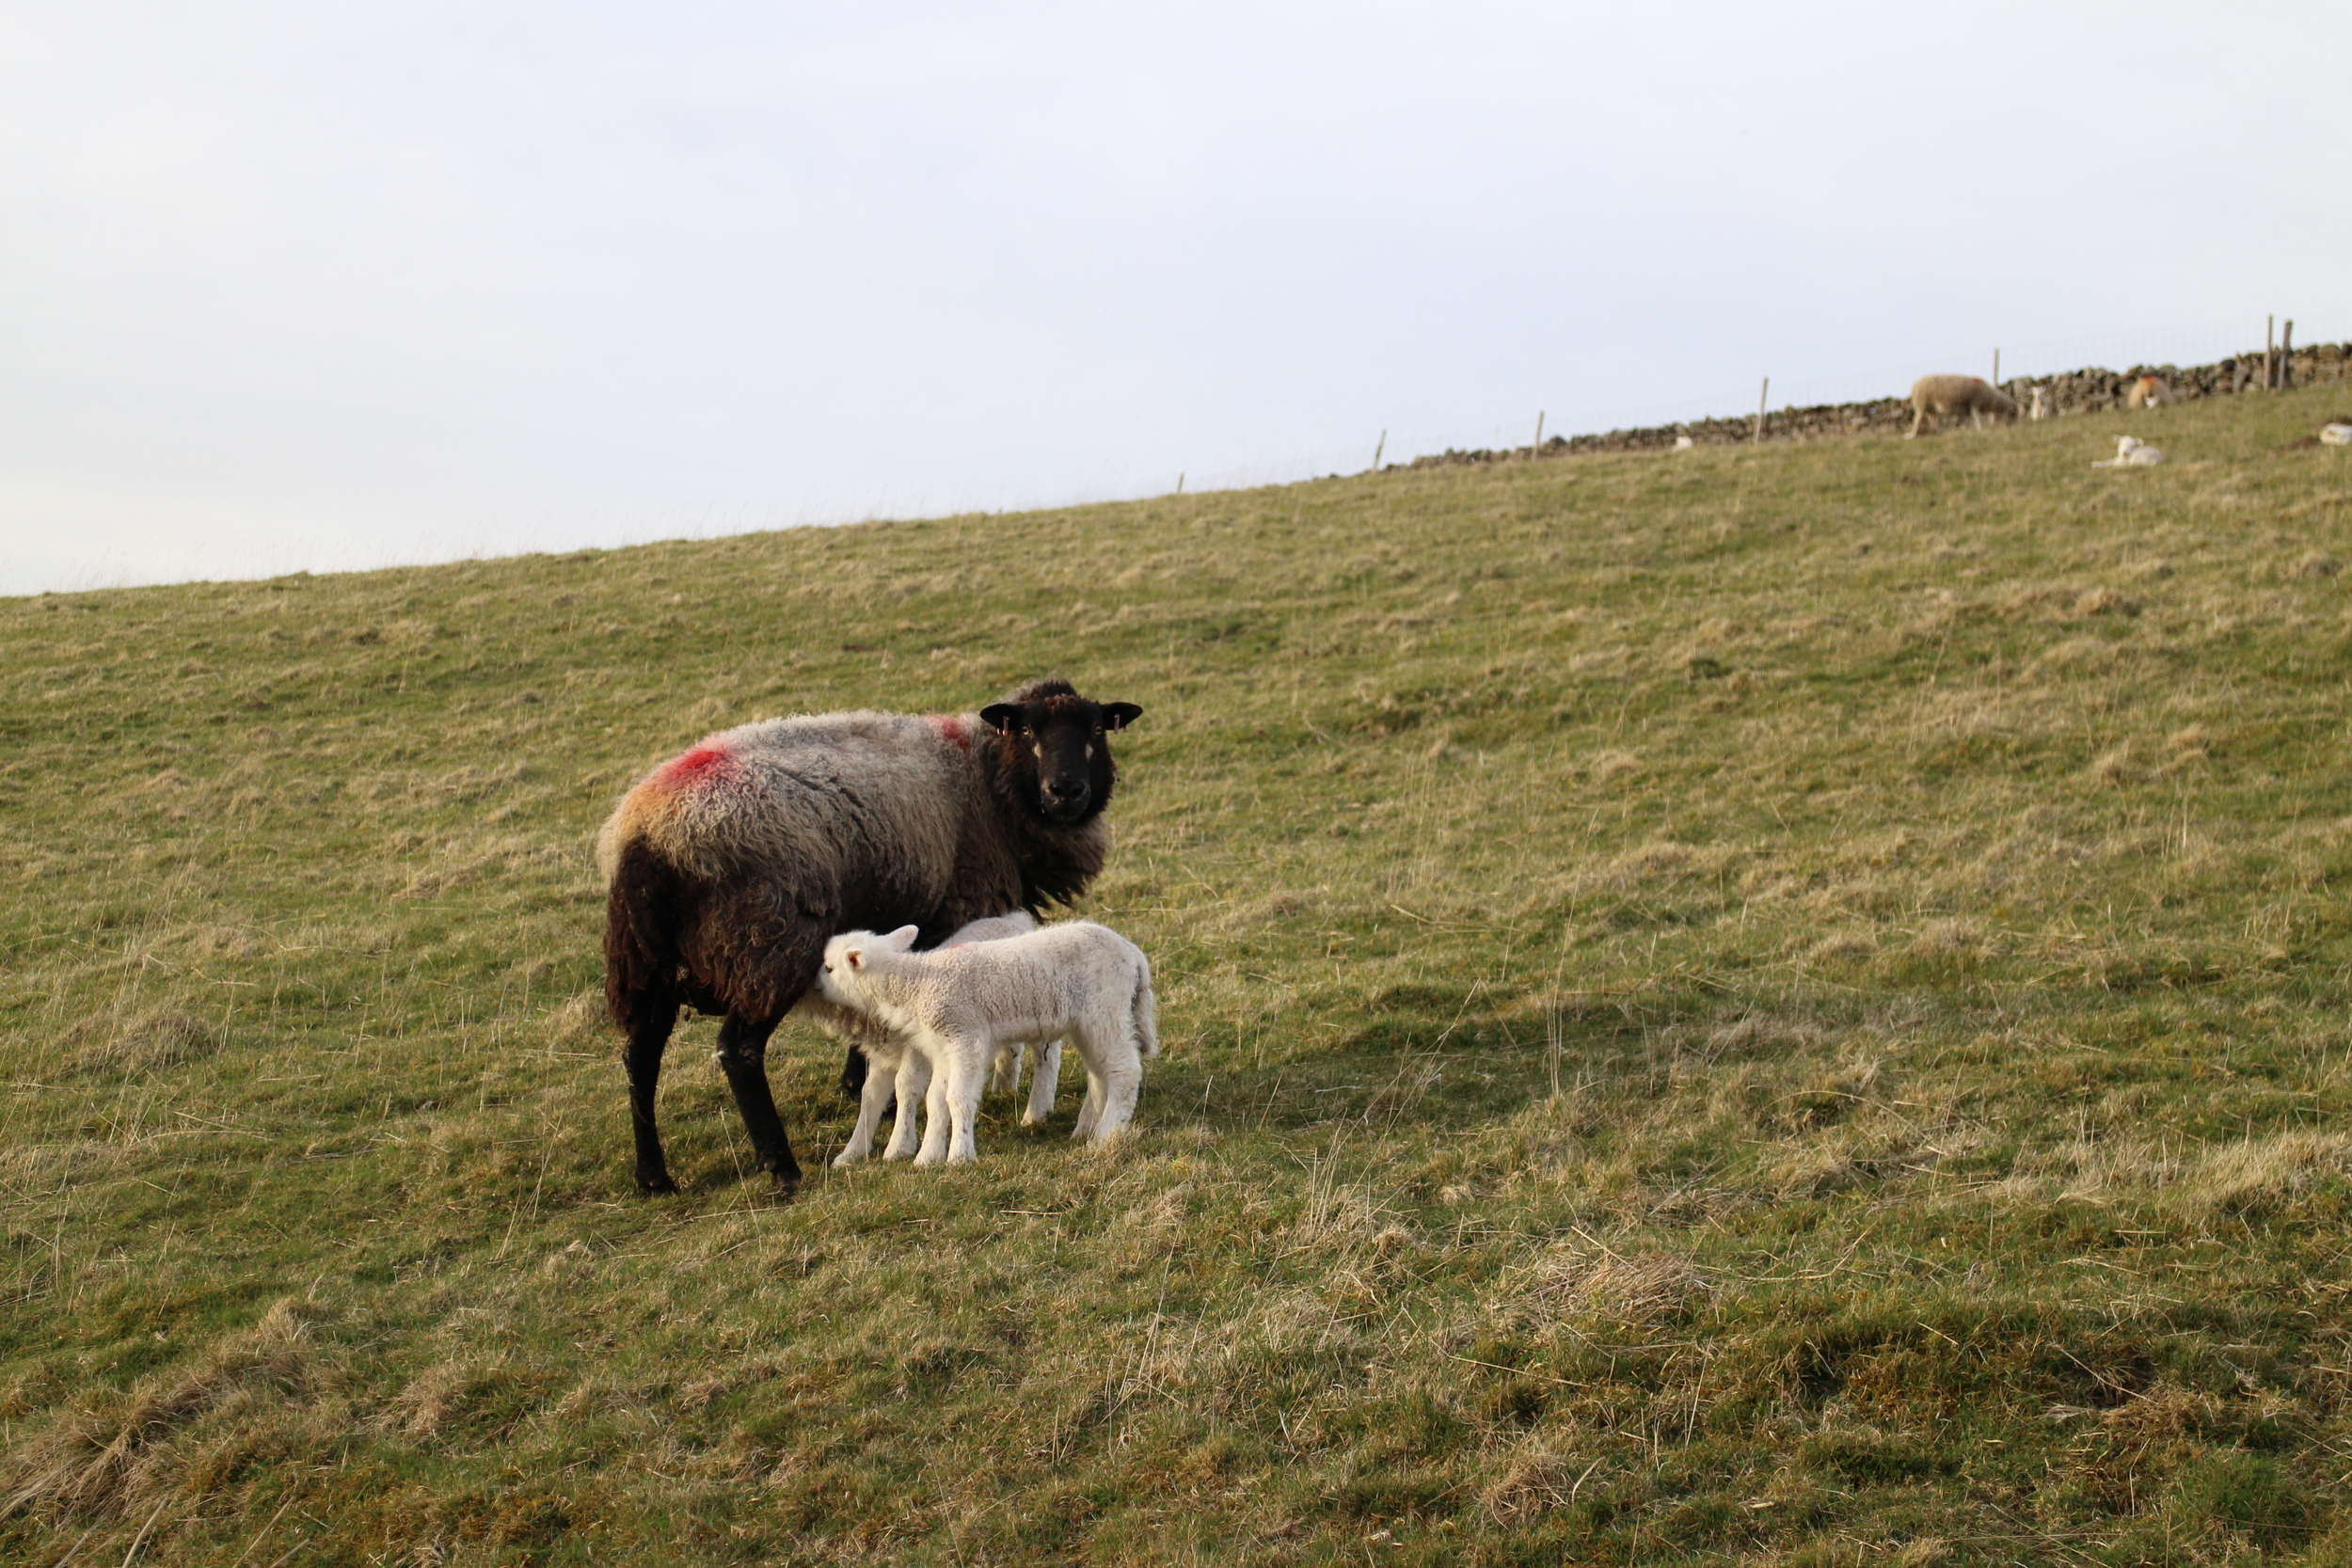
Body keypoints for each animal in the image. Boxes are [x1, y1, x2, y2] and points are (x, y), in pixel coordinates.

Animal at [814, 921, 1162, 1165]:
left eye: (829, 967)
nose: (813, 984)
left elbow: (958, 1098)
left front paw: (959, 1157)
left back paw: (1108, 1133)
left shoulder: (966, 1036)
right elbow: (936, 1099)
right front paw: (927, 1158)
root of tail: (1134, 954)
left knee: (1124, 1070)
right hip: (1085, 1022)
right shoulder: (943, 1047)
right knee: (1100, 1074)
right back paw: (1085, 1129)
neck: (916, 984)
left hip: (1105, 1008)